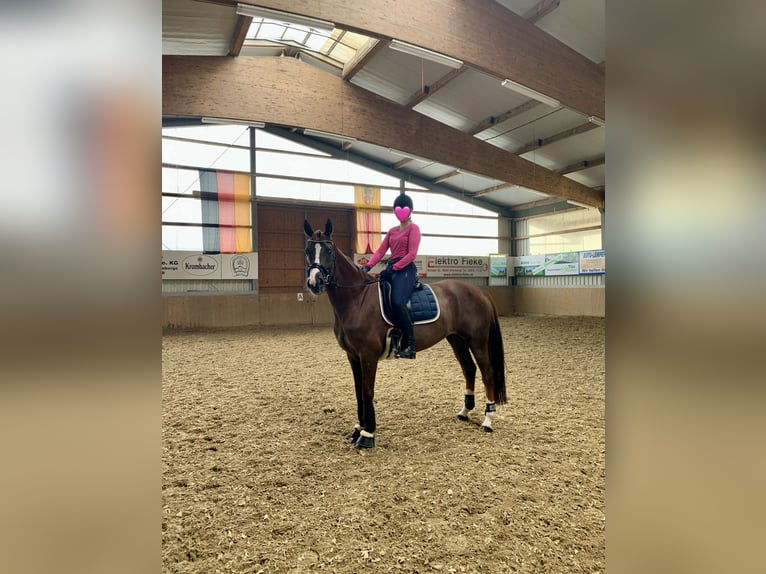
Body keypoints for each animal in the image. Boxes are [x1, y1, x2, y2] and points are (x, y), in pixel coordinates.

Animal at [304, 220, 508, 450]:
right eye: (308, 251)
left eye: (329, 251)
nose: (315, 282)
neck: (357, 298)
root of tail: (479, 291)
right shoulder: (353, 356)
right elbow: (358, 393)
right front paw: (358, 428)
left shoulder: (368, 356)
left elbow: (367, 392)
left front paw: (367, 434)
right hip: (456, 339)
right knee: (469, 368)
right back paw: (465, 412)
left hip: (477, 341)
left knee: (487, 372)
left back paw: (488, 420)